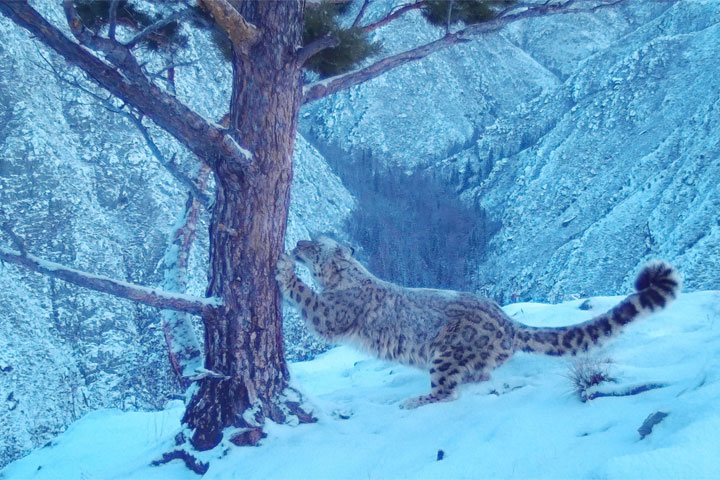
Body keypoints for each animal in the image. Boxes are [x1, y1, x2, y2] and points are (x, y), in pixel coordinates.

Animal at [274, 236, 680, 408]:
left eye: (315, 245)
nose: (297, 242)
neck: (341, 278)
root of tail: (506, 321)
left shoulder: (330, 314)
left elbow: (305, 297)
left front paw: (282, 267)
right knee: (477, 376)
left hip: (445, 354)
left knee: (447, 390)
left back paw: (415, 400)